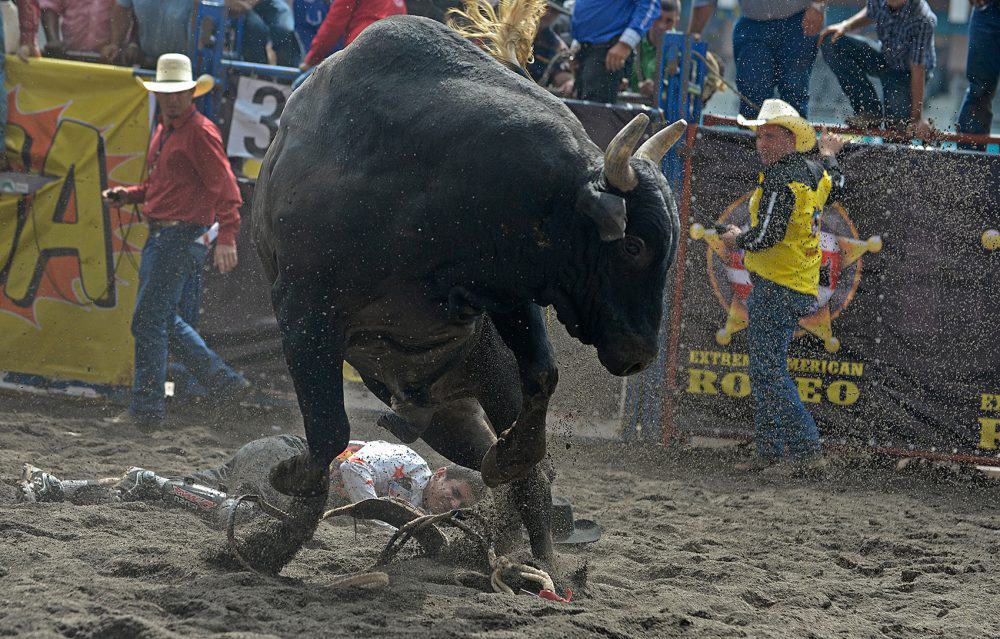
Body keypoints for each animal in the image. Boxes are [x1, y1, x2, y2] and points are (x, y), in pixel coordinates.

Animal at [254, 12, 684, 556]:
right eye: (632, 246)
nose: (641, 353)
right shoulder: (304, 313)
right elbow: (328, 432)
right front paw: (286, 489)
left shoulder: (508, 284)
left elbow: (542, 376)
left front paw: (510, 456)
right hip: (441, 410)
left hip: (477, 382)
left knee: (530, 480)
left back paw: (542, 562)